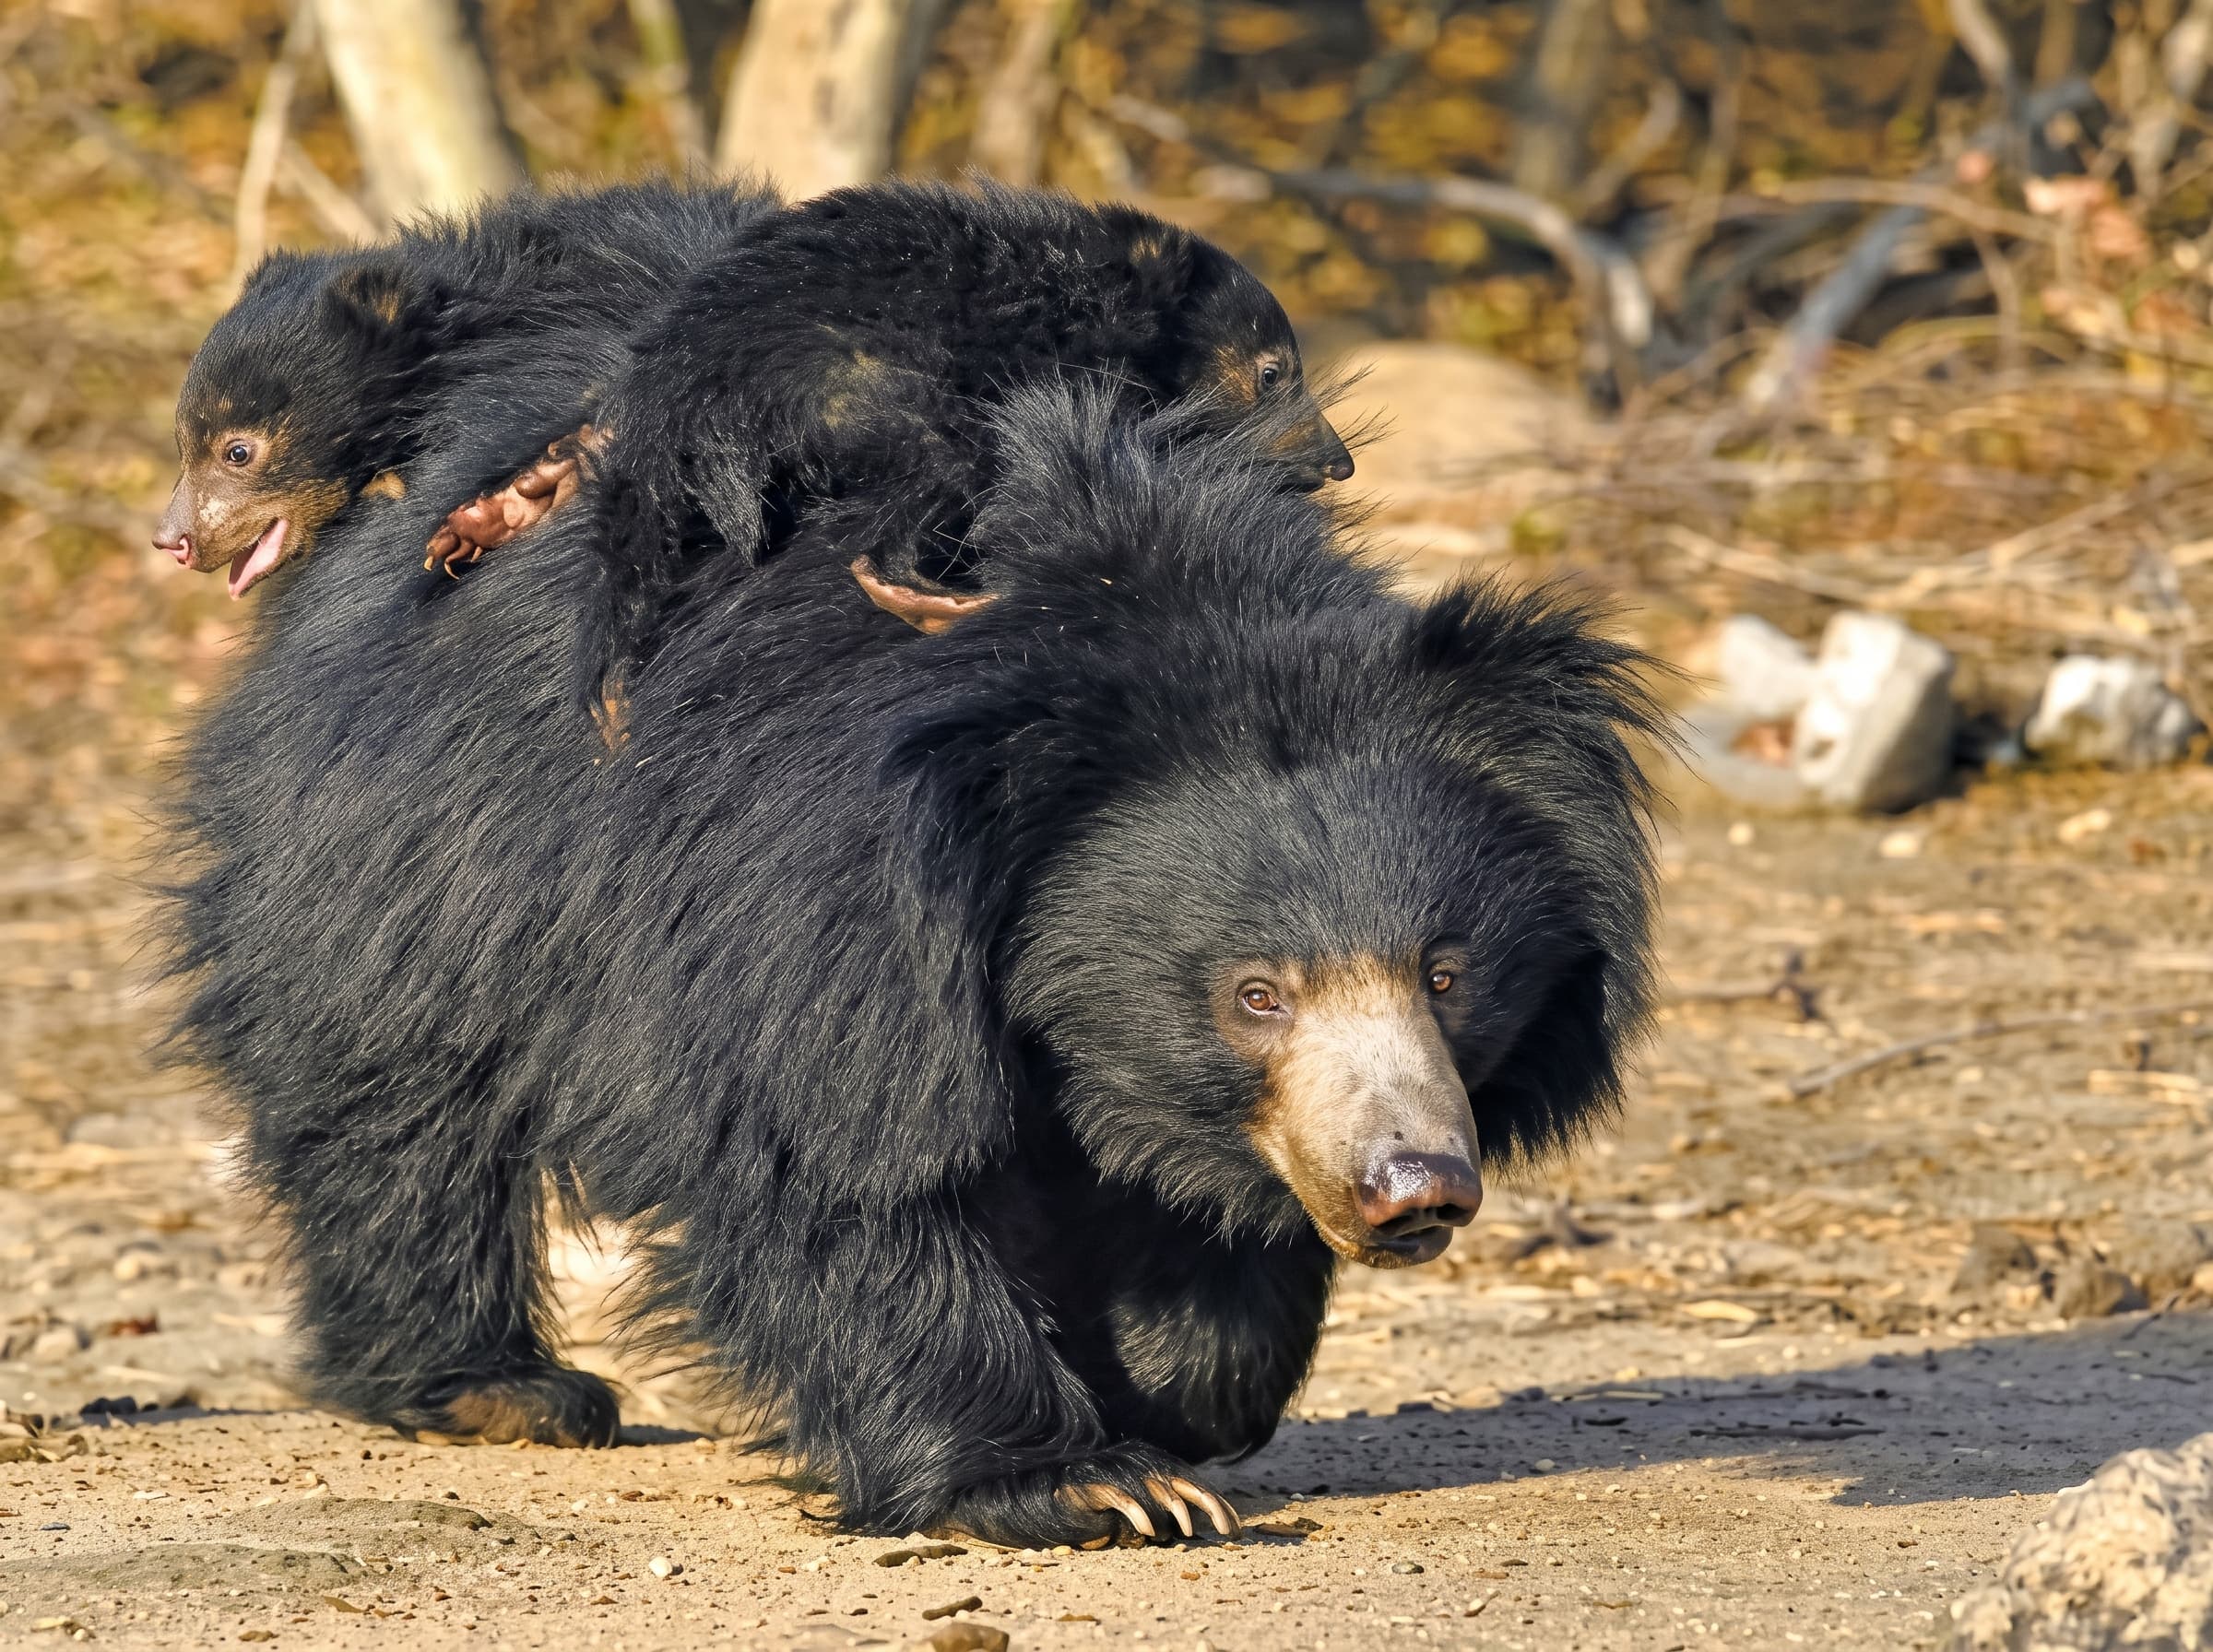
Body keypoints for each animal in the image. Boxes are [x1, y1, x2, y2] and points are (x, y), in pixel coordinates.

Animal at [163, 384, 1660, 1548]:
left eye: (1448, 973)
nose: (1416, 1187)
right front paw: (1088, 1486)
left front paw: (1163, 1393)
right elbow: (829, 1166)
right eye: (1256, 993)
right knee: (397, 1104)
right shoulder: (809, 901)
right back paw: (494, 1389)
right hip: (417, 845)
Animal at [425, 179, 1356, 722]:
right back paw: (939, 600)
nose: (1338, 461)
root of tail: (695, 384)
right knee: (938, 473)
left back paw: (503, 506)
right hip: (873, 387)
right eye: (1273, 373)